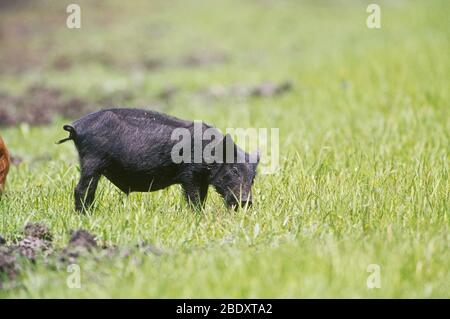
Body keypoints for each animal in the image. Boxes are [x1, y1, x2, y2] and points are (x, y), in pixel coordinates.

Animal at [58, 108, 258, 212]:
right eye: (233, 170)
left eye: (253, 178)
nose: (246, 202)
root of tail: (76, 127)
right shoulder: (189, 174)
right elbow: (193, 197)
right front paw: (197, 215)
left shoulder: (202, 179)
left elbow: (202, 197)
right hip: (92, 162)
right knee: (81, 189)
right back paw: (85, 214)